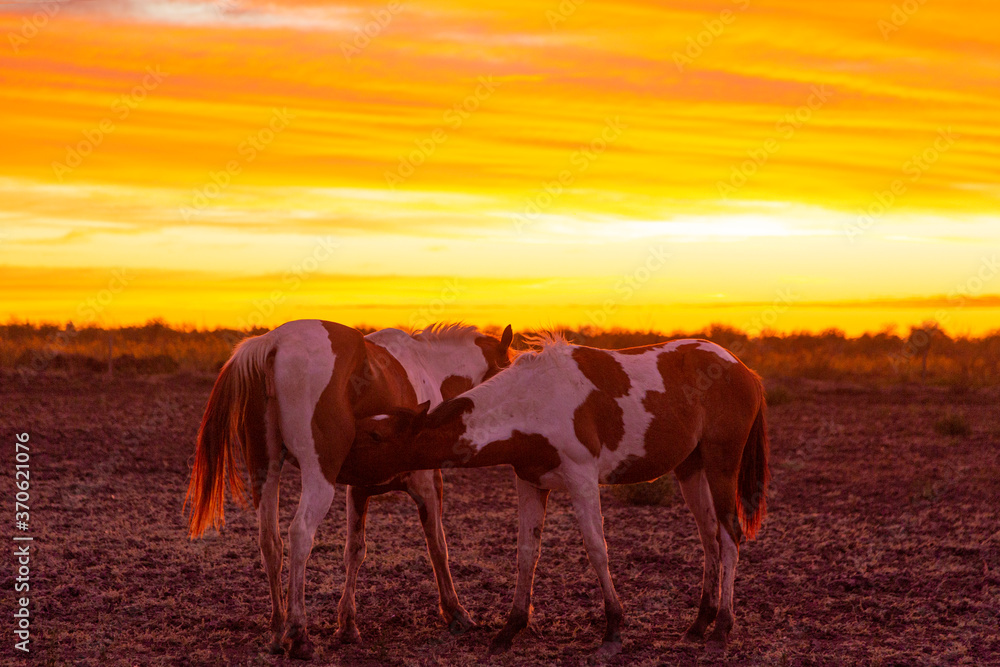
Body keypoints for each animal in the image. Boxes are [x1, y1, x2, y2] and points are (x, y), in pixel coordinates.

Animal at [185, 319, 513, 659]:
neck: (428, 367)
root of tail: (274, 343)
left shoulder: (358, 489)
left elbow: (355, 551)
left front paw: (347, 625)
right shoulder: (426, 481)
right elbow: (438, 544)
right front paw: (455, 611)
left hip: (266, 472)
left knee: (270, 541)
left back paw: (277, 631)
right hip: (319, 478)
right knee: (300, 534)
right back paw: (298, 633)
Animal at [343, 334, 770, 659]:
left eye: (376, 435)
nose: (339, 463)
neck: (532, 400)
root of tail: (742, 368)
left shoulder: (582, 480)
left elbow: (597, 549)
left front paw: (613, 630)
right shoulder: (531, 483)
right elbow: (526, 554)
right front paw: (510, 629)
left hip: (721, 466)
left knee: (730, 536)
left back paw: (722, 629)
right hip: (691, 470)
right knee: (710, 537)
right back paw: (700, 624)